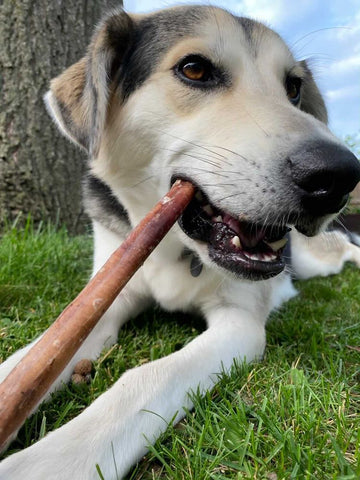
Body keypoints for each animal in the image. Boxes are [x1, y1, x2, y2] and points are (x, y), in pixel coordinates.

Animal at [2, 4, 360, 480]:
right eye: (194, 69)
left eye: (293, 88)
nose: (338, 175)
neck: (177, 249)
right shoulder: (102, 300)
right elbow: (29, 359)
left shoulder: (239, 324)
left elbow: (145, 377)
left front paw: (44, 464)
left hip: (323, 257)